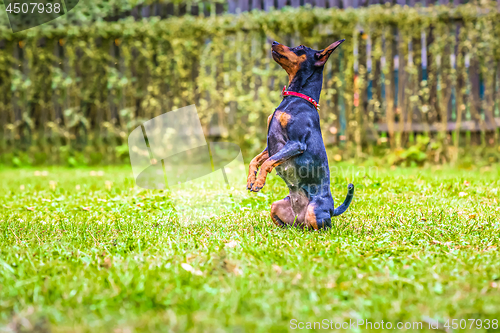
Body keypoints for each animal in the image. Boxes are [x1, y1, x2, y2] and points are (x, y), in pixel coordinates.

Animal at [247, 40, 356, 230]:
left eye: (300, 48)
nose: (273, 42)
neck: (296, 98)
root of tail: (332, 209)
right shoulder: (270, 146)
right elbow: (255, 160)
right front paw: (250, 179)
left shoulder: (296, 143)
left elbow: (268, 162)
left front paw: (259, 182)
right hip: (277, 206)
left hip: (315, 211)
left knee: (324, 228)